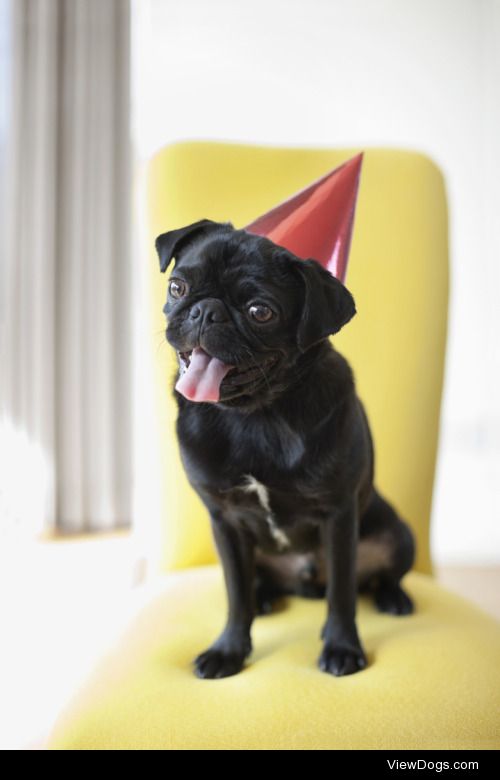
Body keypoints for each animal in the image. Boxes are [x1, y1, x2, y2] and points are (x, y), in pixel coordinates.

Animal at [156, 218, 414, 676]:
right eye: (178, 287)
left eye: (260, 312)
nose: (206, 310)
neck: (253, 415)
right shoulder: (225, 521)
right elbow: (235, 595)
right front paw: (229, 650)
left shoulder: (339, 515)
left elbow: (343, 594)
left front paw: (342, 647)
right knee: (254, 583)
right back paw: (264, 597)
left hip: (399, 535)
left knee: (378, 577)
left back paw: (393, 597)